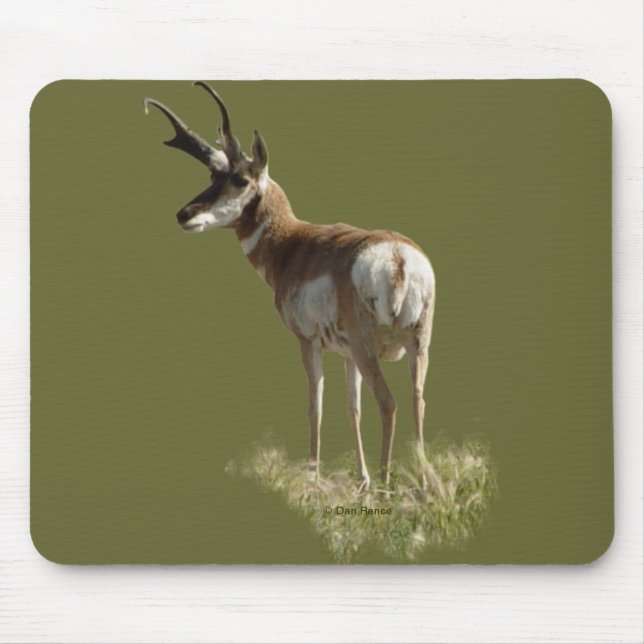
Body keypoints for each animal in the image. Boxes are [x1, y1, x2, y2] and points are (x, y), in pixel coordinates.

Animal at [144, 82, 436, 491]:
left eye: (239, 179)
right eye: (214, 177)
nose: (183, 214)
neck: (293, 243)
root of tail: (396, 256)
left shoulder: (308, 341)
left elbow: (315, 406)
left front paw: (313, 478)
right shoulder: (346, 355)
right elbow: (352, 408)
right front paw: (359, 480)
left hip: (370, 349)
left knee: (388, 402)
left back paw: (385, 484)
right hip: (416, 345)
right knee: (417, 401)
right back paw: (421, 486)